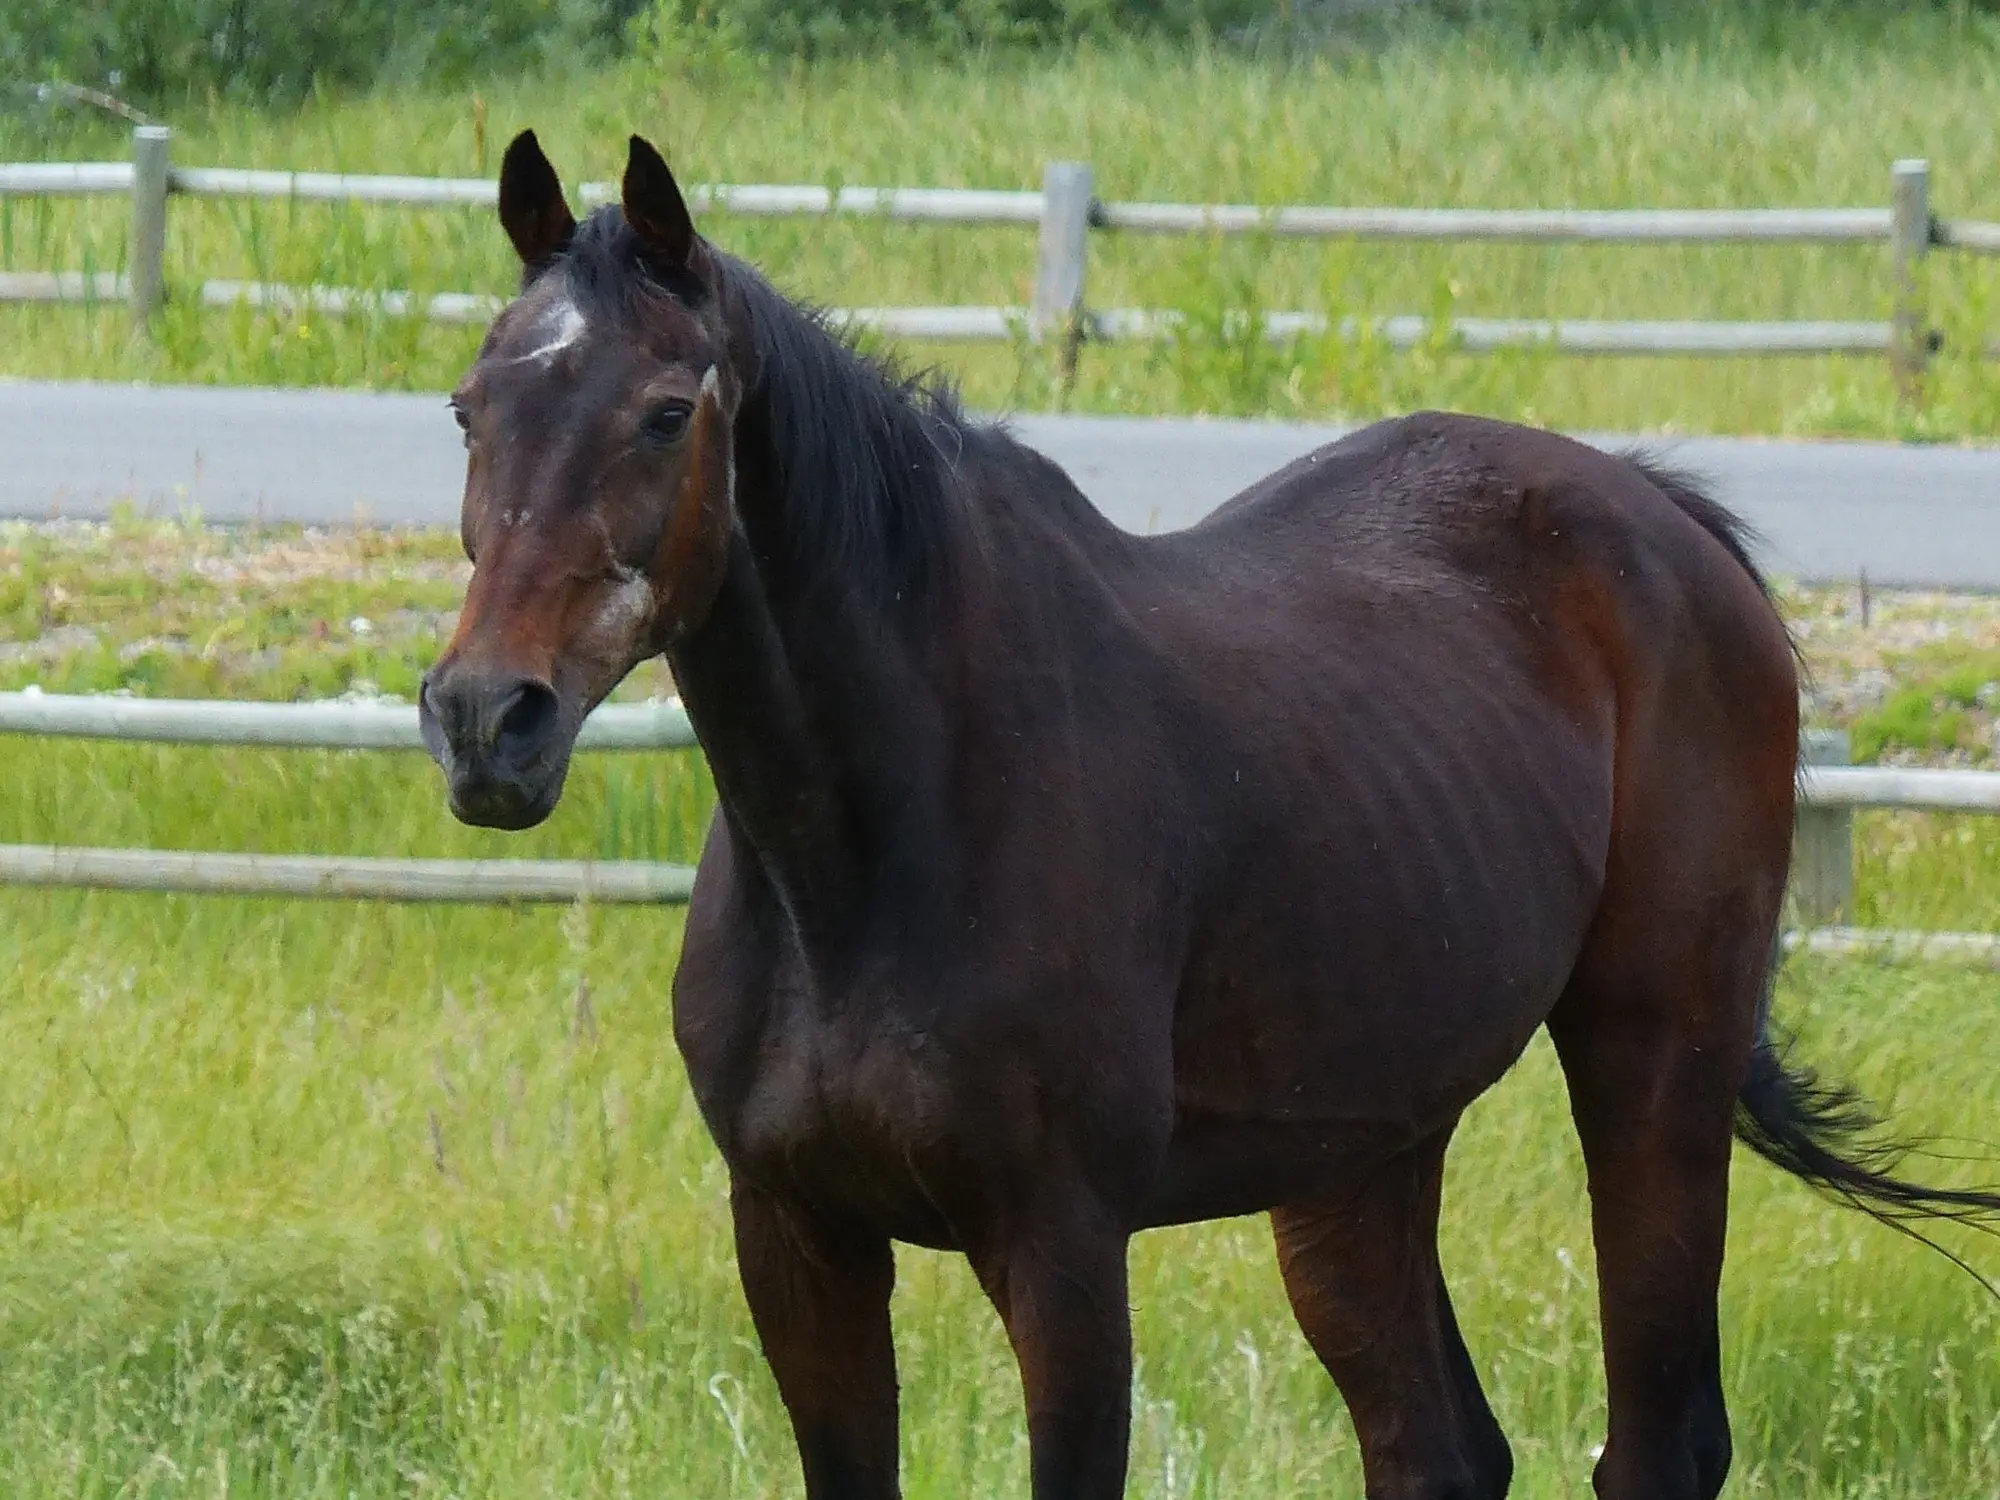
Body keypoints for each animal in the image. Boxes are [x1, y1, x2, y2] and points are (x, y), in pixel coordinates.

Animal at [414, 132, 1992, 1500]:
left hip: (1653, 1065)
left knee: (1657, 1446)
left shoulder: (1061, 1248)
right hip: (1361, 1155)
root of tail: (1668, 523)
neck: (874, 844)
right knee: (1438, 1449)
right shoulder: (799, 1240)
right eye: (470, 408)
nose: (489, 720)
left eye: (666, 412)